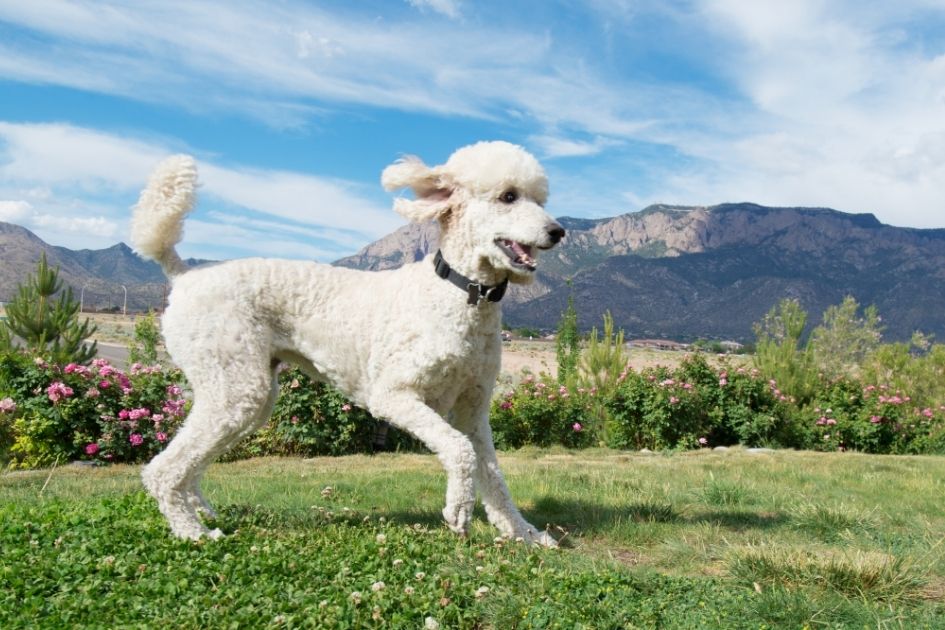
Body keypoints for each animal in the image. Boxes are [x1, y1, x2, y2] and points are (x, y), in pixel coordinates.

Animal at [130, 141, 564, 544]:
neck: (460, 293)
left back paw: (199, 510)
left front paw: (525, 534)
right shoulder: (393, 396)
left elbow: (493, 474)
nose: (557, 231)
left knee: (191, 457)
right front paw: (458, 508)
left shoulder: (473, 409)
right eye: (508, 196)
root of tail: (185, 276)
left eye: (540, 199)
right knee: (162, 469)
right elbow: (461, 451)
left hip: (244, 392)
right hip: (234, 386)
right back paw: (192, 531)